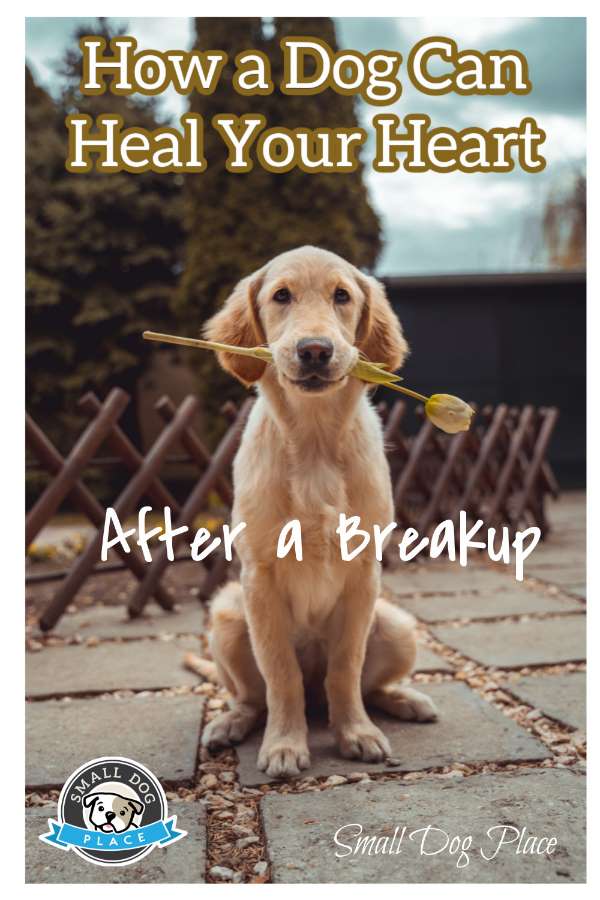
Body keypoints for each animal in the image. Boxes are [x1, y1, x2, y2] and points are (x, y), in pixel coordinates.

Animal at [202, 243, 436, 776]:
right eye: (281, 296)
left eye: (342, 296)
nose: (314, 350)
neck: (312, 441)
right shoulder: (259, 577)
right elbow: (280, 673)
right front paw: (285, 745)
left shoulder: (363, 573)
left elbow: (345, 668)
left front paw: (355, 733)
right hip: (227, 616)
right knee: (254, 696)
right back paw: (231, 723)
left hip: (396, 624)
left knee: (364, 686)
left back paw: (404, 700)